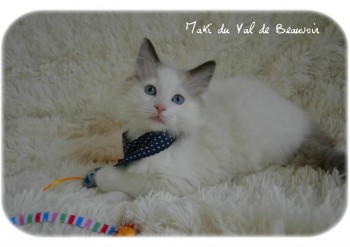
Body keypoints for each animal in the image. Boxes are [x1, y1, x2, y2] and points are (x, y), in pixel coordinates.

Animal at [94, 38, 346, 197]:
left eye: (177, 100)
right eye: (150, 91)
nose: (159, 108)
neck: (148, 142)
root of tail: (302, 118)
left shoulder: (174, 183)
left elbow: (125, 180)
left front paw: (99, 175)